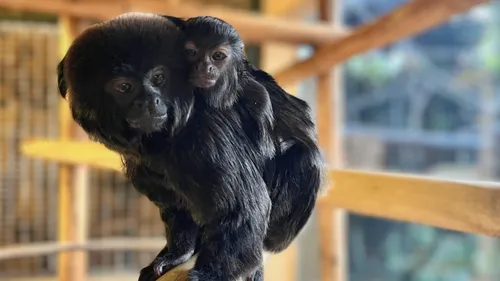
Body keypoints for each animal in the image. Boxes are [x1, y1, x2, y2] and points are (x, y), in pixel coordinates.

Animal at [58, 12, 276, 280]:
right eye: (125, 87)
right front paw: (178, 253)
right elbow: (174, 204)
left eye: (158, 78)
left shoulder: (206, 136)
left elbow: (242, 208)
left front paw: (206, 274)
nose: (150, 101)